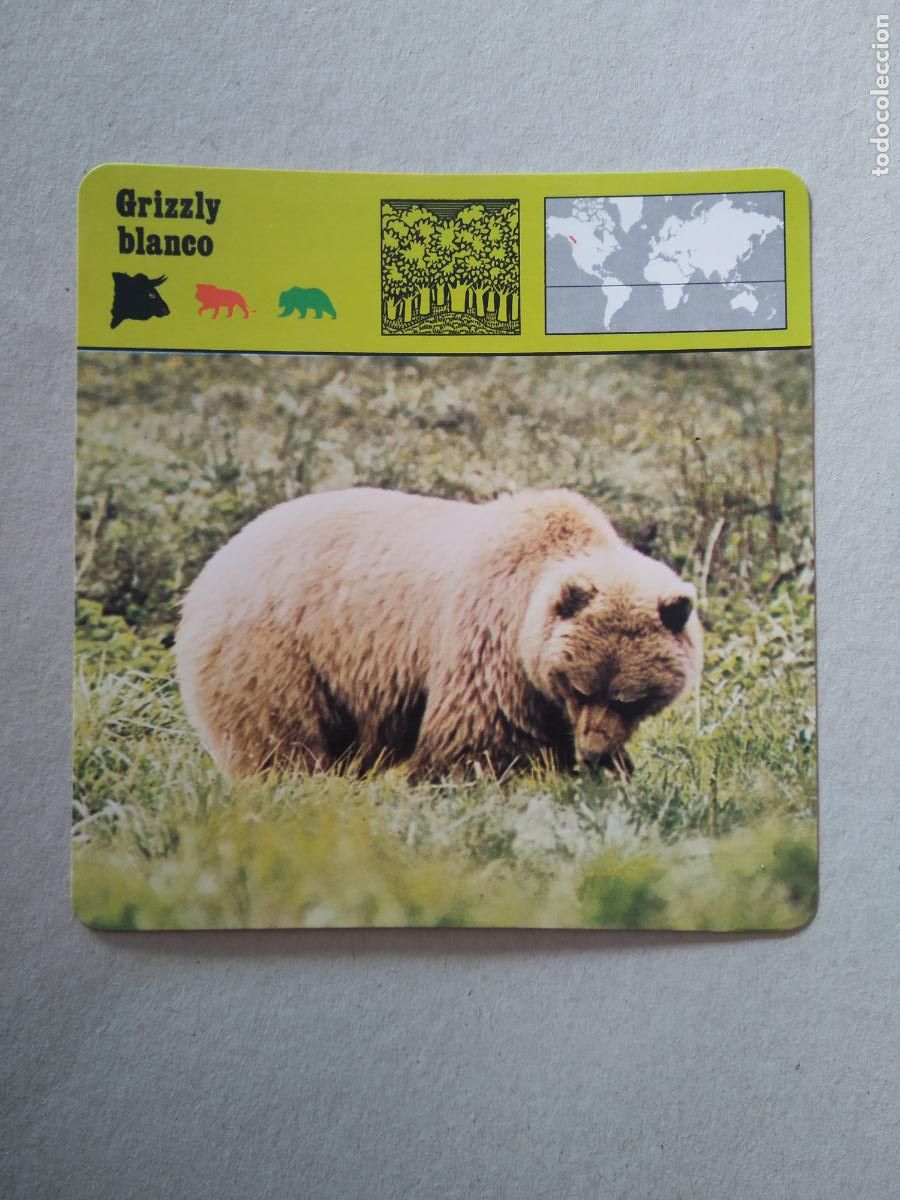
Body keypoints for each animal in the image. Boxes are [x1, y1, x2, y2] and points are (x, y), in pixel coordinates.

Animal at [175, 487, 702, 780]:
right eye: (579, 686)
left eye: (631, 698)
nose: (593, 751)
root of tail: (209, 568)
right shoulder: (489, 641)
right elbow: (479, 744)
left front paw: (615, 772)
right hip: (277, 653)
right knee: (281, 744)